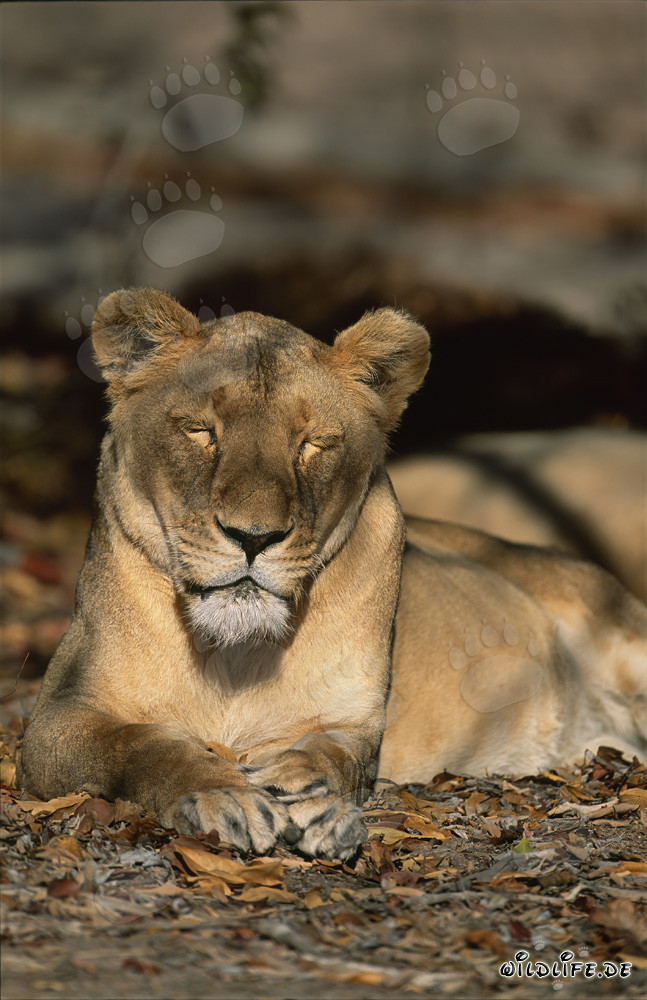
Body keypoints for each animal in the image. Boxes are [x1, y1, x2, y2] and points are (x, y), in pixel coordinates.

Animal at [17, 288, 647, 861]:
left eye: (313, 443)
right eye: (200, 430)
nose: (253, 537)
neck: (234, 657)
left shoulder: (356, 722)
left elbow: (331, 755)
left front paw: (304, 796)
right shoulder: (56, 718)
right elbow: (143, 744)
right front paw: (224, 795)